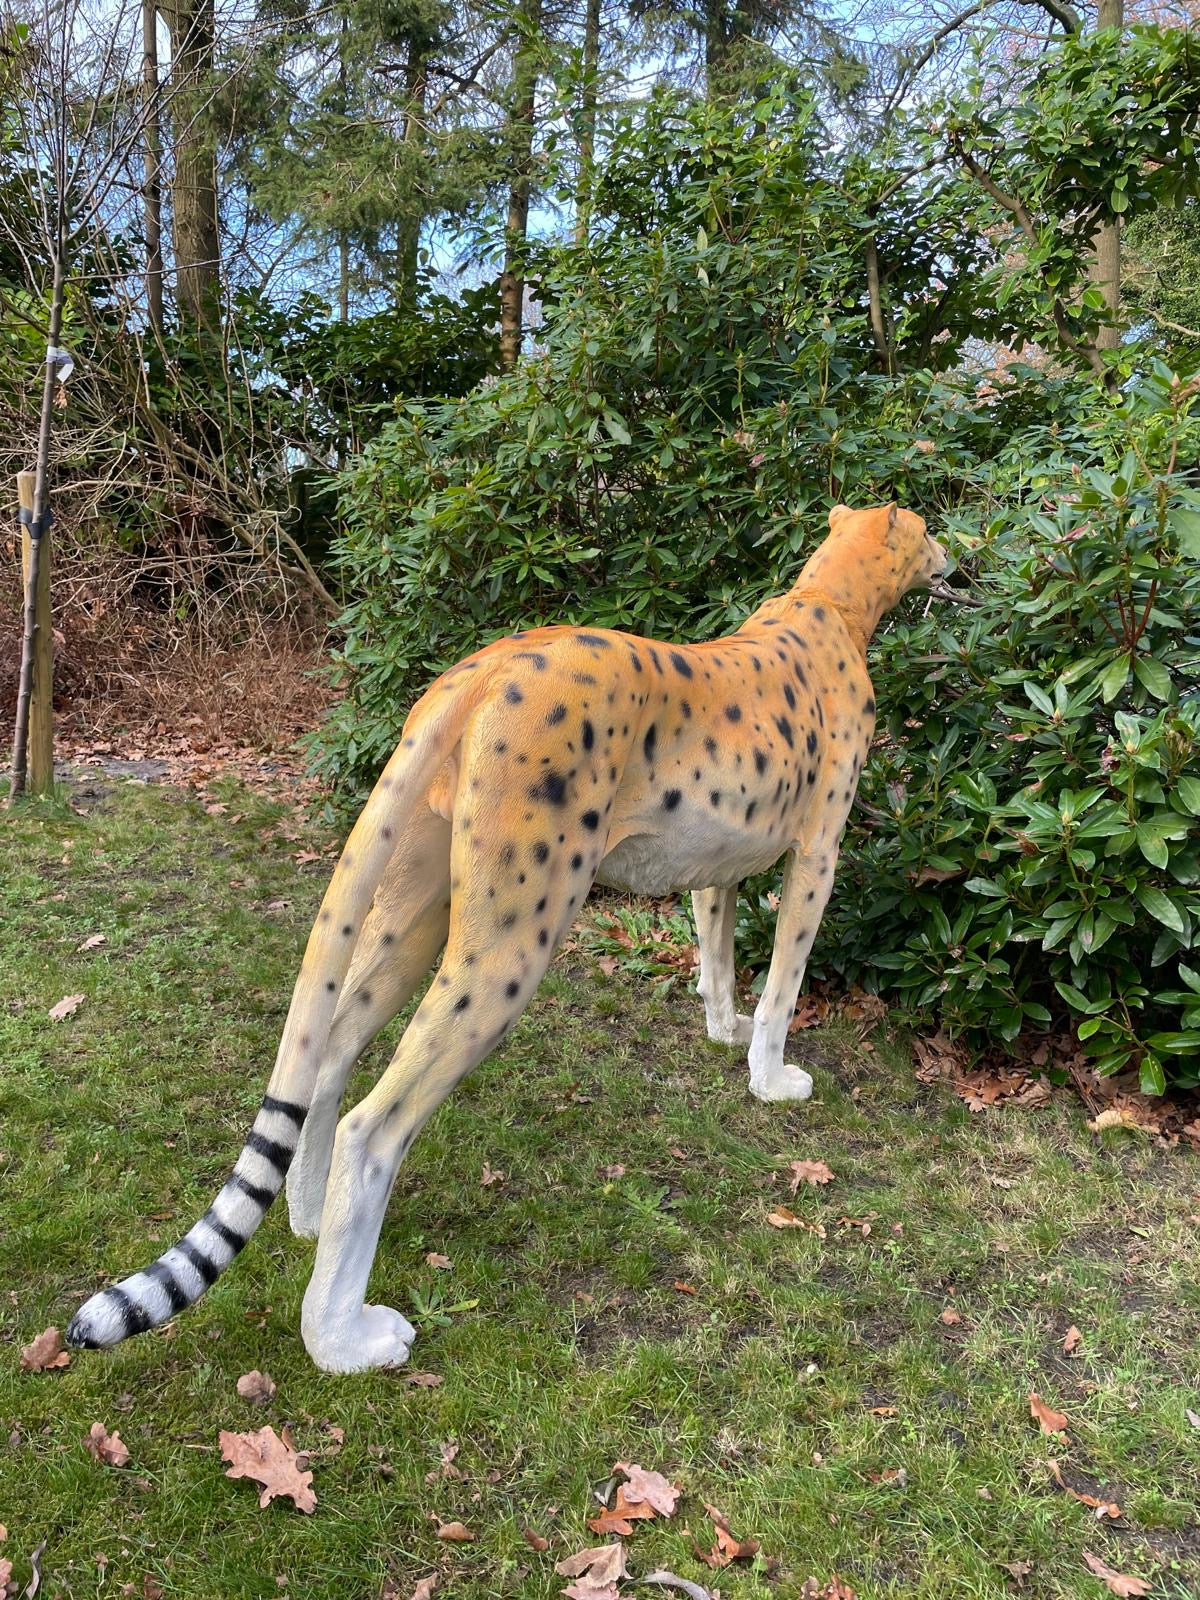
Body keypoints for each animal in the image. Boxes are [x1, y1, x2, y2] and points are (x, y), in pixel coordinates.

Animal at [67, 501, 947, 1373]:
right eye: (930, 529)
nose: (953, 557)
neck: (829, 600)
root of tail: (485, 663)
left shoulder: (718, 868)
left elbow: (720, 954)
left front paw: (722, 1031)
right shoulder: (818, 856)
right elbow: (784, 985)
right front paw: (770, 1078)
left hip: (422, 918)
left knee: (330, 1055)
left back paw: (309, 1218)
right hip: (511, 943)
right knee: (373, 1128)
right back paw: (342, 1338)